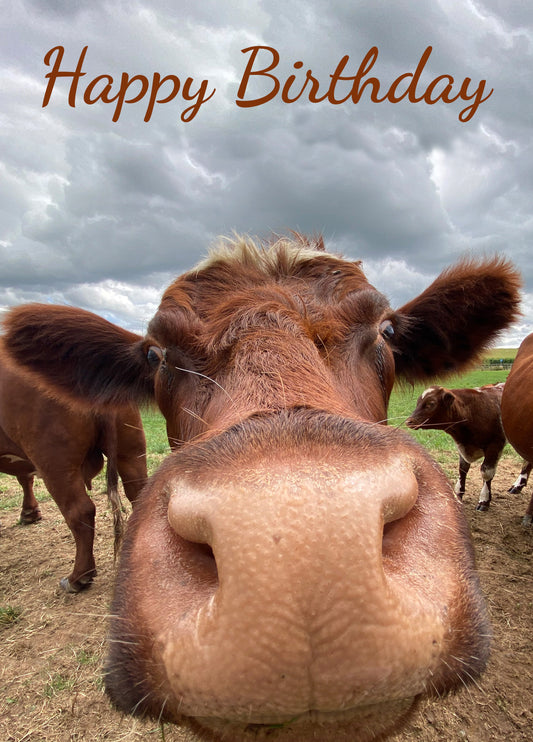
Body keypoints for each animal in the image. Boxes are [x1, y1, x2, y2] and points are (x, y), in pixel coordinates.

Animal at [0, 352, 148, 592]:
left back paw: (78, 577)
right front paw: (29, 513)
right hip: (131, 449)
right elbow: (25, 477)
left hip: (55, 461)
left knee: (80, 511)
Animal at [405, 383, 506, 511]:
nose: (409, 421)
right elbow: (462, 469)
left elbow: (486, 473)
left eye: (431, 403)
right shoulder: (461, 446)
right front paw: (458, 494)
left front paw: (484, 500)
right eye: (418, 402)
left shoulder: (495, 446)